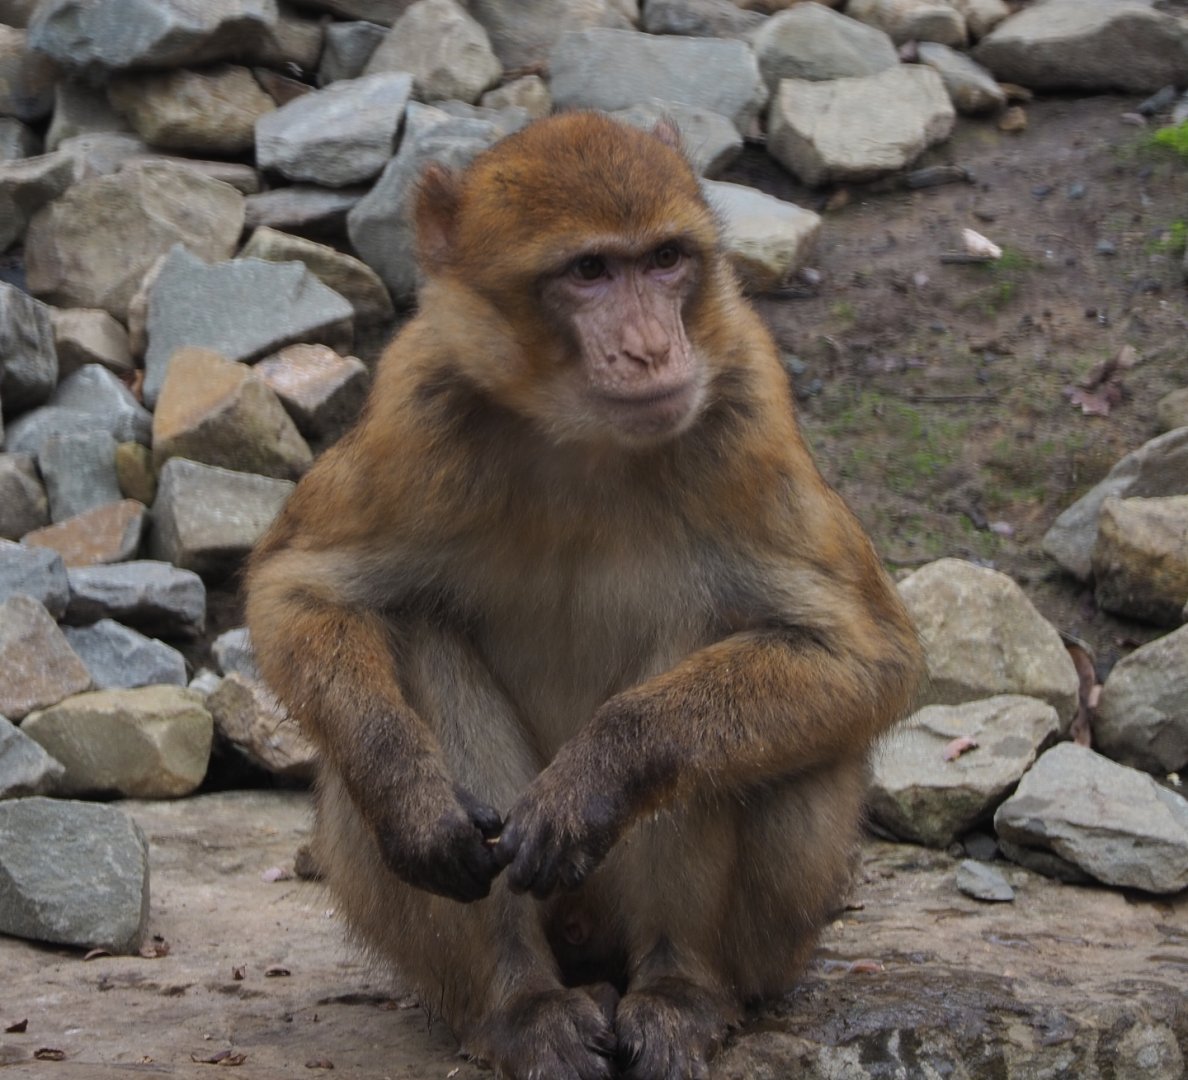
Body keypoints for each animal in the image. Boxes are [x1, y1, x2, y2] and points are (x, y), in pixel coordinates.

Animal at [245, 112, 922, 1080]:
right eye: (590, 271)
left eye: (666, 259)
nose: (652, 349)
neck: (581, 438)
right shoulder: (416, 407)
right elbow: (298, 592)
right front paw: (408, 793)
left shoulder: (746, 406)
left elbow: (868, 655)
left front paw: (602, 768)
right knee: (415, 630)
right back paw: (522, 1004)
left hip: (764, 936)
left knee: (720, 655)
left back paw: (679, 990)